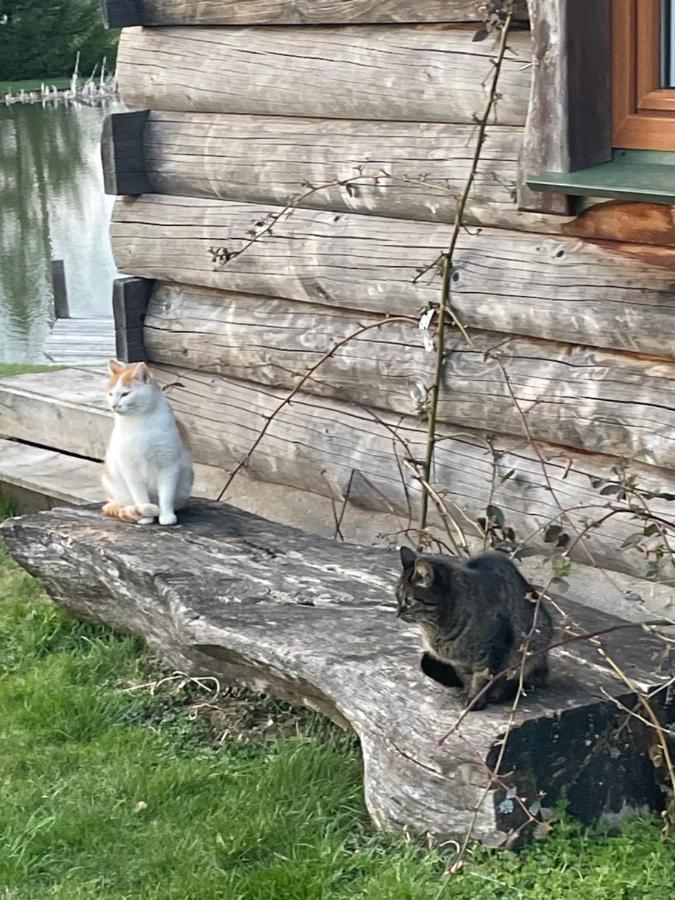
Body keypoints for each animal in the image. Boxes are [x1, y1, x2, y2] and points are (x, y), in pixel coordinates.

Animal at [101, 360, 194, 528]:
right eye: (110, 394)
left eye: (125, 394)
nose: (114, 405)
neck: (139, 422)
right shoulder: (130, 467)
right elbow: (140, 495)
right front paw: (145, 516)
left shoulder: (168, 464)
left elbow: (166, 495)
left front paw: (166, 515)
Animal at [398, 548, 552, 712]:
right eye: (397, 597)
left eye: (408, 600)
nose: (398, 614)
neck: (436, 627)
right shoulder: (460, 661)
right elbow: (467, 677)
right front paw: (467, 692)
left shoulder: (491, 651)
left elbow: (482, 679)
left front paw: (475, 700)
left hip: (533, 645)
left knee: (521, 680)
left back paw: (501, 693)